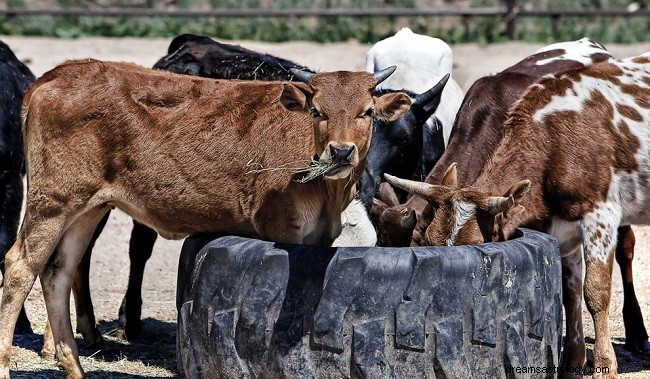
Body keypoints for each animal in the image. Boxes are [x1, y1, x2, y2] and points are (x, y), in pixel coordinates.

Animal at [0, 59, 408, 379]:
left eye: (367, 112)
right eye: (317, 111)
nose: (340, 151)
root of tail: (56, 75)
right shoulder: (283, 230)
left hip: (87, 208)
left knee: (59, 271)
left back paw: (74, 367)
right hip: (53, 201)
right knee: (20, 266)